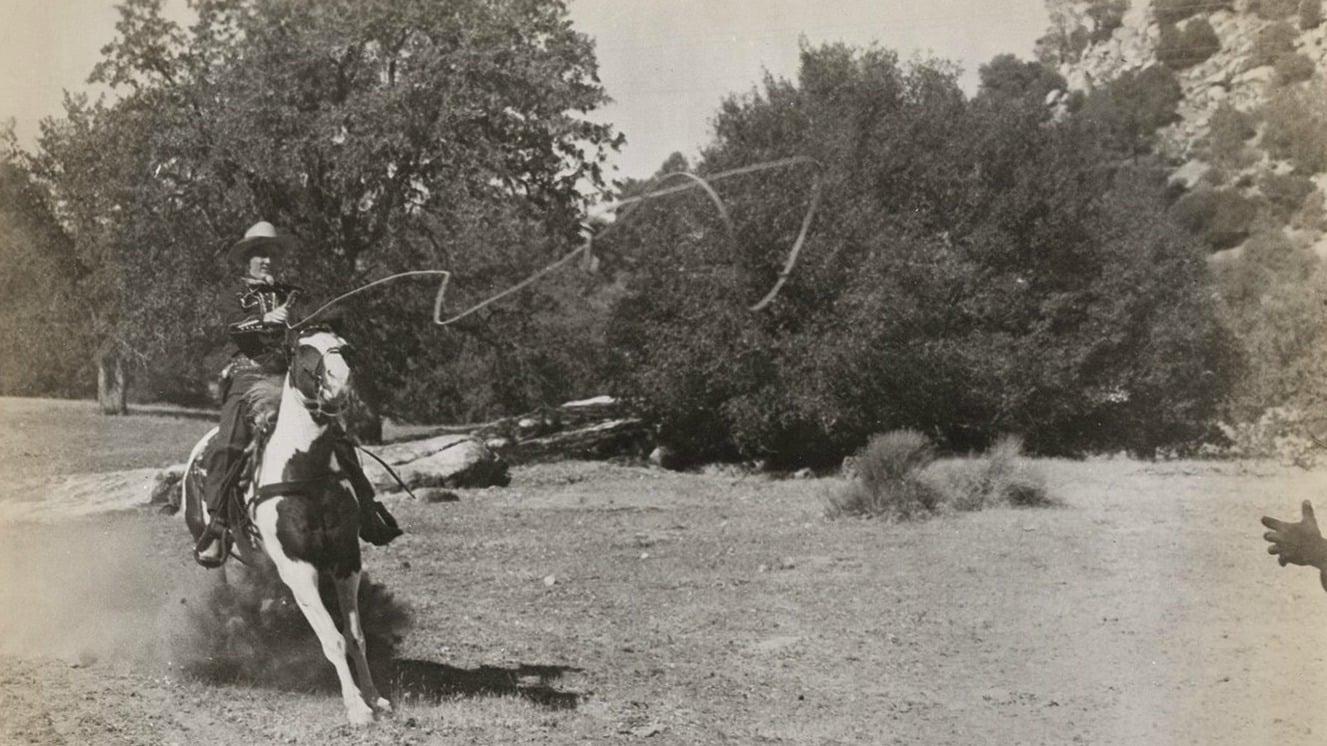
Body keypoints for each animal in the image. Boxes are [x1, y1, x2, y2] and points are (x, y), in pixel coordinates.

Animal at [180, 327, 387, 722]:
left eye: (345, 347)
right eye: (301, 352)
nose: (340, 383)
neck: (306, 470)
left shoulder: (346, 560)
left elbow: (356, 636)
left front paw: (374, 697)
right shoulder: (298, 567)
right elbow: (332, 637)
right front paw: (356, 708)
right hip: (217, 548)